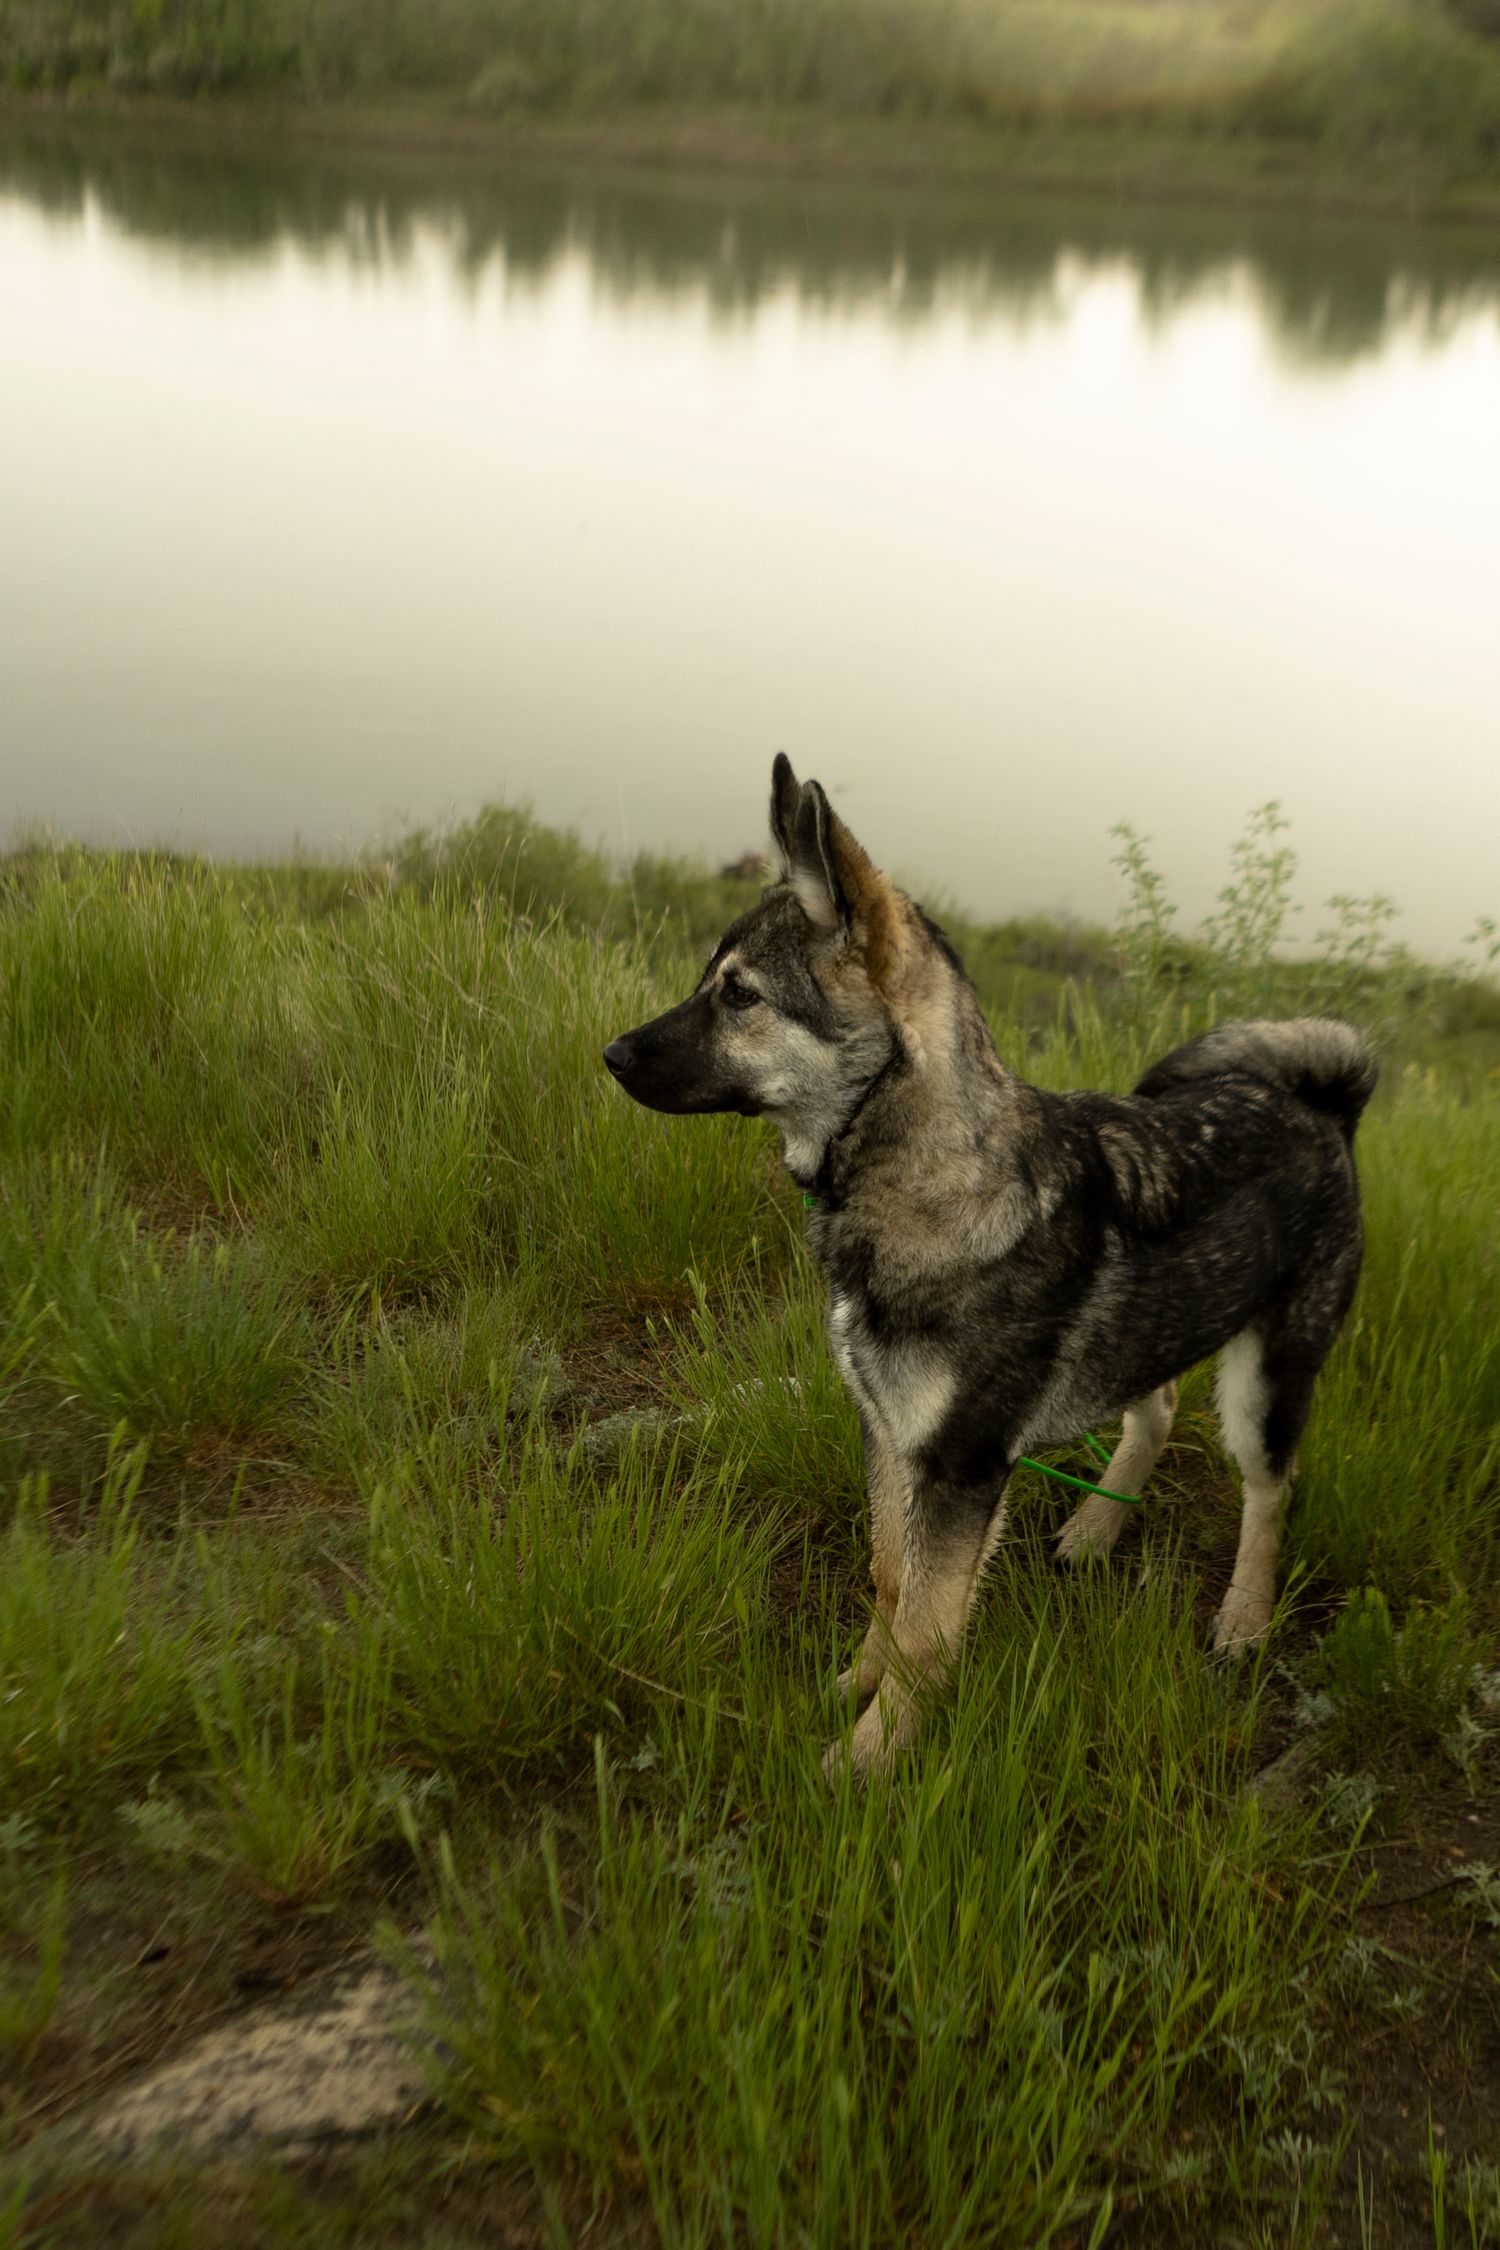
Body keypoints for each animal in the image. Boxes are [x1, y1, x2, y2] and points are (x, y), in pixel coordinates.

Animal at [604, 758, 1375, 1780]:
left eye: (741, 997)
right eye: (711, 983)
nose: (610, 1054)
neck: (926, 1179)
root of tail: (1322, 1103)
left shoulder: (962, 1466)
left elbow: (928, 1626)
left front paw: (867, 1762)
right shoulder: (890, 1435)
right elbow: (894, 1580)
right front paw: (860, 1684)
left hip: (1267, 1377)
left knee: (1268, 1488)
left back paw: (1245, 1618)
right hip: (1150, 1331)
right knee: (1158, 1407)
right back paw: (1096, 1528)